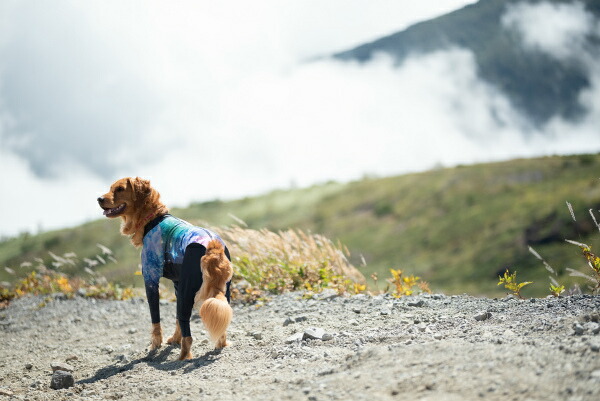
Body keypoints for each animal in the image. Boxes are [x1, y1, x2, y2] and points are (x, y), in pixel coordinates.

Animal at [97, 177, 231, 358]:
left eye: (119, 189)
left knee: (188, 333)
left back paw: (183, 357)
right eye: (110, 188)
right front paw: (174, 339)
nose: (99, 199)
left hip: (188, 289)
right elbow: (176, 318)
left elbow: (156, 320)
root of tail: (213, 245)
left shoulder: (151, 279)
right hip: (222, 291)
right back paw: (219, 345)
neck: (152, 219)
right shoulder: (177, 283)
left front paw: (155, 344)